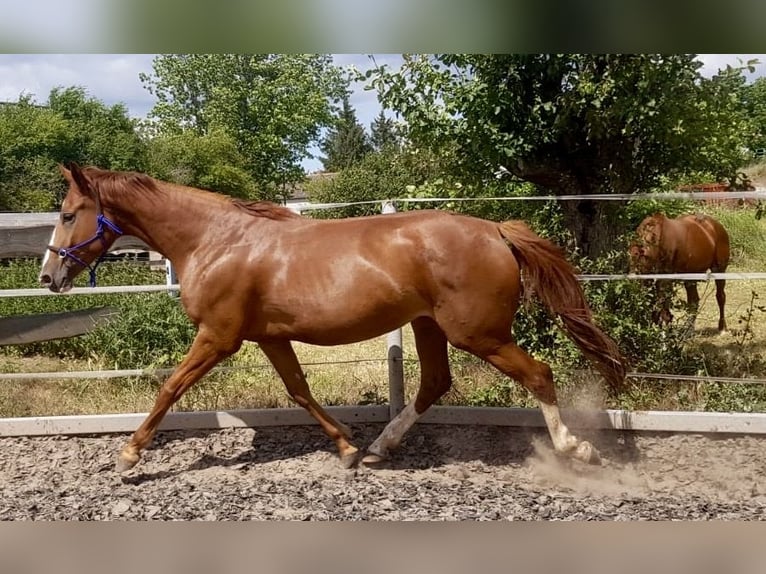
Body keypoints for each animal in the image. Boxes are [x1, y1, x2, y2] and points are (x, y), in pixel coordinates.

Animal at [40, 163, 626, 473]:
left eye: (68, 214)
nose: (48, 277)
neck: (215, 240)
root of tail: (496, 230)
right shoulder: (267, 337)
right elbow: (299, 390)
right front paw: (345, 446)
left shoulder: (219, 337)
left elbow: (169, 388)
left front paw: (128, 454)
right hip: (429, 326)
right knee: (435, 382)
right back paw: (380, 448)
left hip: (478, 333)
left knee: (539, 374)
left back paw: (576, 449)